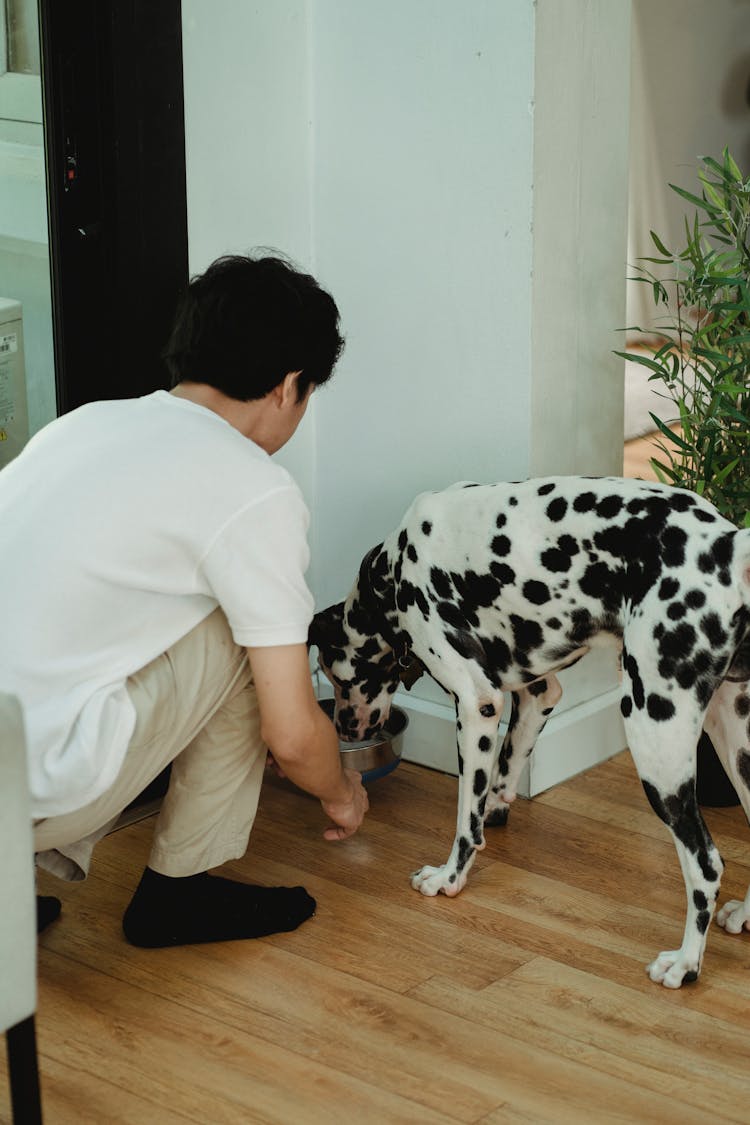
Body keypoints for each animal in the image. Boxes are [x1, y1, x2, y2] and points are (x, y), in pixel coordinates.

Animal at [308, 474, 750, 985]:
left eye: (337, 676)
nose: (344, 729)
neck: (392, 570)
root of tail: (727, 545)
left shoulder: (477, 703)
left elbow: (465, 816)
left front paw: (450, 878)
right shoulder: (537, 694)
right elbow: (500, 774)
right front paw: (496, 810)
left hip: (656, 740)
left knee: (706, 865)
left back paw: (685, 964)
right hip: (733, 740)